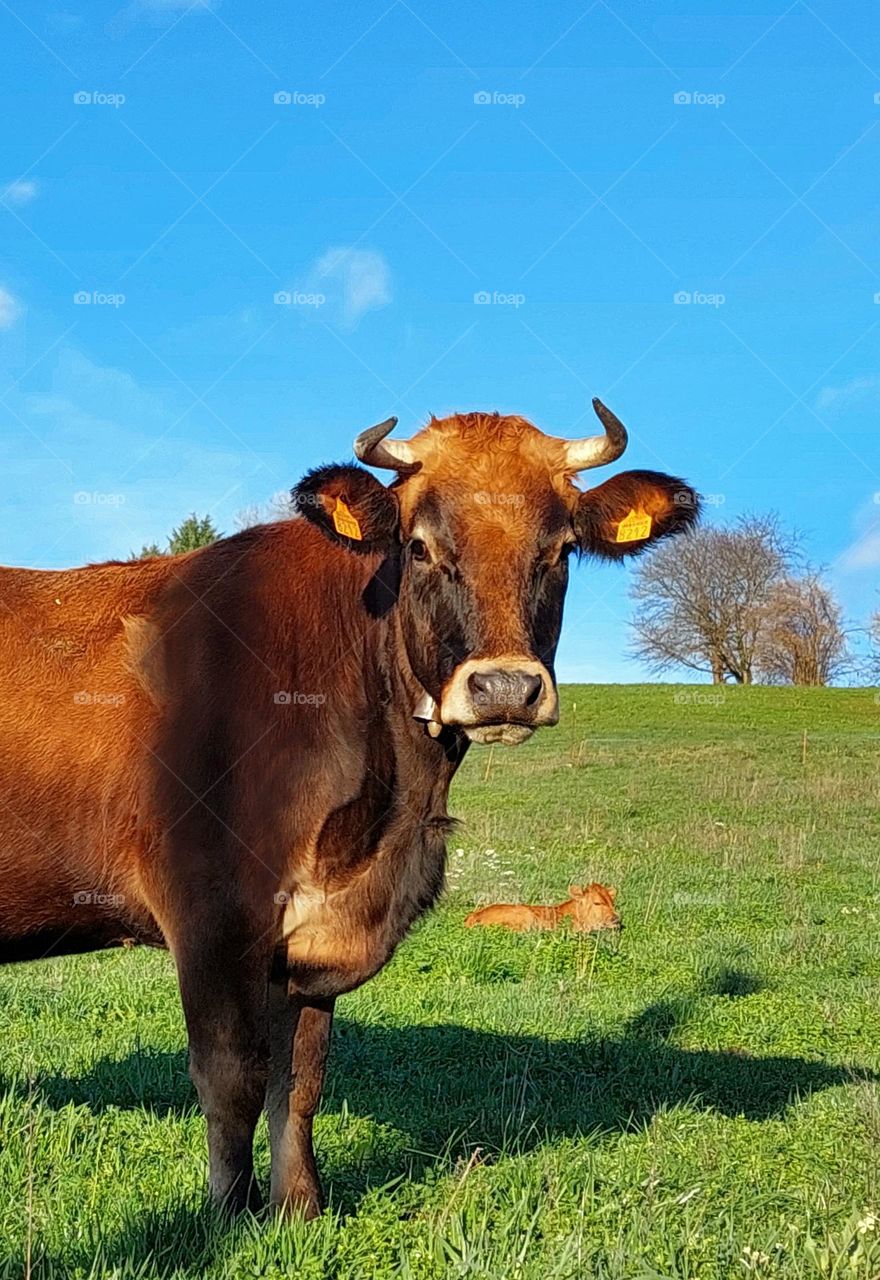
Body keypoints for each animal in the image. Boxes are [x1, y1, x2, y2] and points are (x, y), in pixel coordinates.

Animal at [0, 400, 698, 1218]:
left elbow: (300, 1079)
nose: (504, 688)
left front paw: (298, 1208)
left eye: (559, 551)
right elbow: (231, 1076)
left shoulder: (302, 942)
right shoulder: (211, 911)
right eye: (420, 547)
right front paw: (224, 1219)